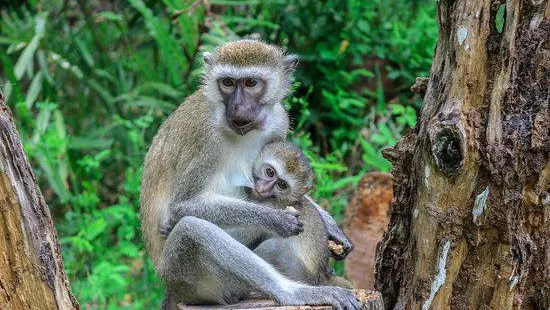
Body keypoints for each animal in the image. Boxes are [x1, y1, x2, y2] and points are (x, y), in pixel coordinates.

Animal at [250, 141, 354, 288]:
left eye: (281, 185)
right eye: (270, 172)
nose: (263, 188)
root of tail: (321, 277)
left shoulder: (267, 205)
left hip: (298, 273)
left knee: (272, 247)